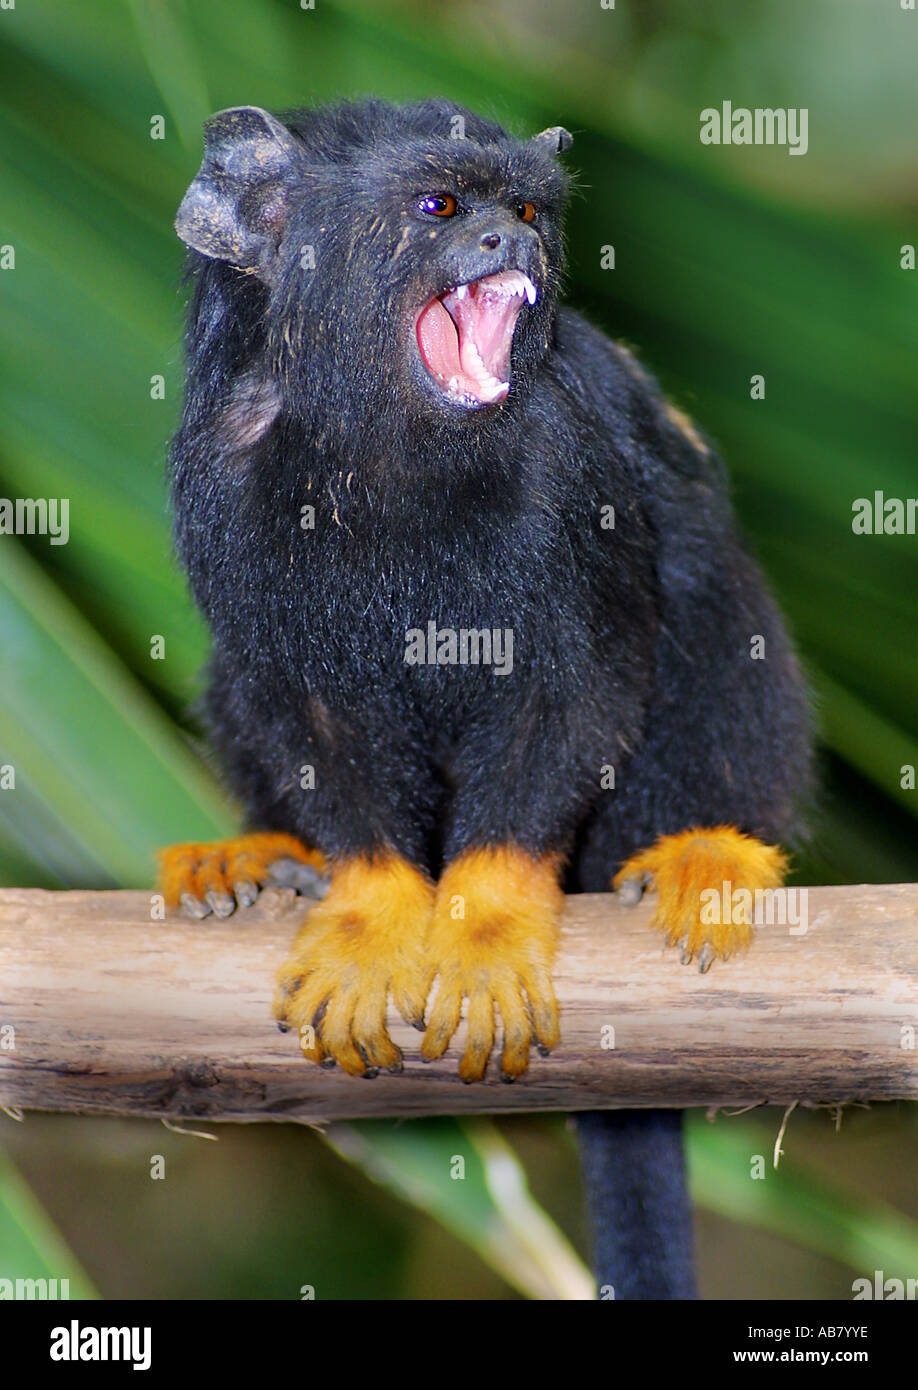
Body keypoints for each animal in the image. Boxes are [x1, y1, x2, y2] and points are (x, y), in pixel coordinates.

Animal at [161, 100, 812, 1301]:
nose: (512, 245)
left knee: (711, 596)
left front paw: (490, 918)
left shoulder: (566, 463)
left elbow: (578, 688)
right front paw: (372, 910)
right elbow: (300, 702)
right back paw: (262, 855)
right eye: (441, 206)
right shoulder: (222, 476)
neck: (386, 450)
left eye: (528, 210)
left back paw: (706, 845)